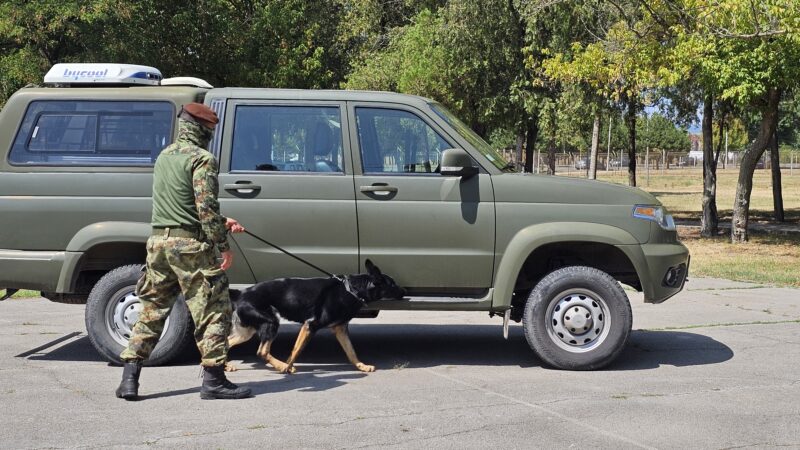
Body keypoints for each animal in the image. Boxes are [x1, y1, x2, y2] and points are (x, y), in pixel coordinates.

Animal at [223, 260, 404, 372]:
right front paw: (287, 367)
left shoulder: (340, 329)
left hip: (247, 331)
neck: (351, 289)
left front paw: (361, 366)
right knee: (262, 351)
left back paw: (226, 366)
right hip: (270, 322)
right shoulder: (310, 326)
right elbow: (296, 351)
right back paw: (280, 366)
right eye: (393, 284)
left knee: (226, 343)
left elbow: (351, 352)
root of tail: (241, 293)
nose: (404, 291)